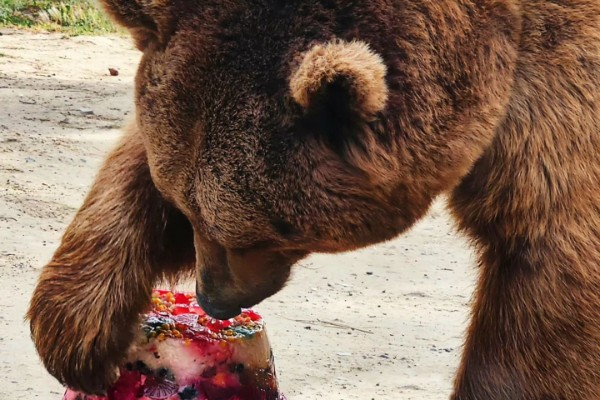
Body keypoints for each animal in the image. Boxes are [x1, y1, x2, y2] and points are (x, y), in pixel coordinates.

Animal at [27, 1, 600, 398]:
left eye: (257, 234)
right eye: (186, 209)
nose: (213, 299)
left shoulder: (557, 93)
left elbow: (544, 275)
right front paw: (79, 334)